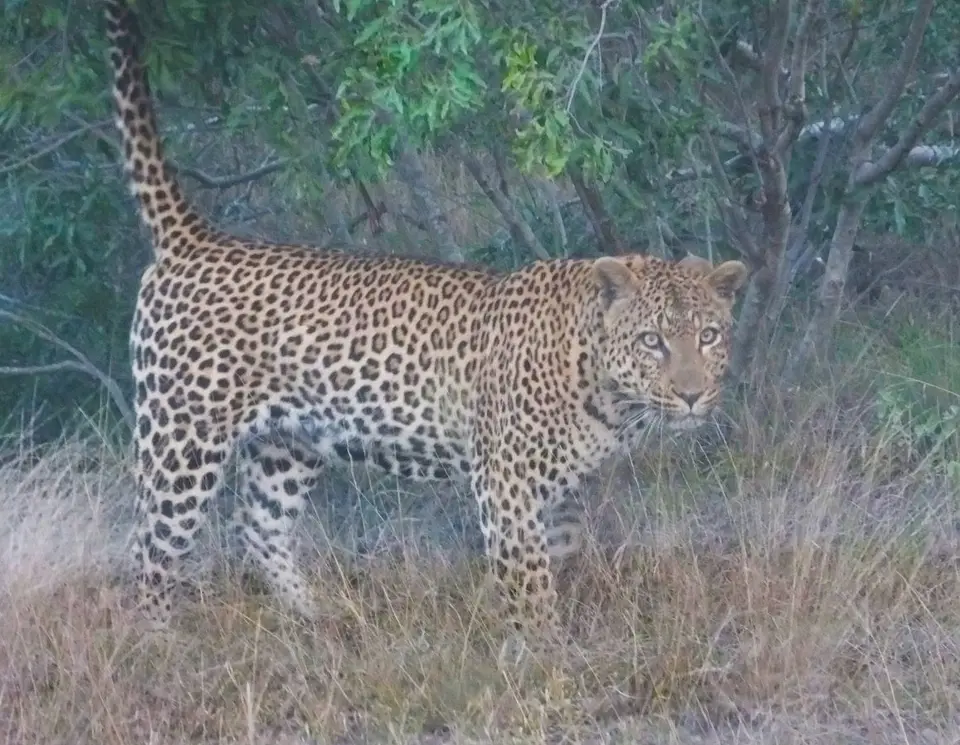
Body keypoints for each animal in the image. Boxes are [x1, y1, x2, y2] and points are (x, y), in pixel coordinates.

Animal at [105, 0, 749, 639]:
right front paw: (543, 652)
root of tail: (198, 239)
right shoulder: (506, 484)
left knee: (257, 526)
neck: (603, 387)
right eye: (652, 341)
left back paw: (323, 618)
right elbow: (530, 581)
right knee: (150, 547)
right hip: (182, 436)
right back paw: (160, 640)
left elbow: (552, 558)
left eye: (708, 336)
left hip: (287, 444)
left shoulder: (559, 494)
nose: (692, 395)